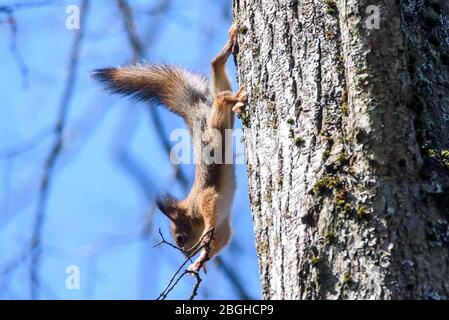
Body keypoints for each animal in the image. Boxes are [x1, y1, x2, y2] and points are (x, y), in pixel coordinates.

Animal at [92, 23, 245, 272]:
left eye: (180, 238)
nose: (186, 256)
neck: (192, 212)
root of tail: (196, 110)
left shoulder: (205, 199)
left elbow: (210, 213)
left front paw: (203, 243)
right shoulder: (223, 228)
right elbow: (222, 240)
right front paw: (200, 261)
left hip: (215, 123)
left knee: (221, 98)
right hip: (222, 115)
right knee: (217, 74)